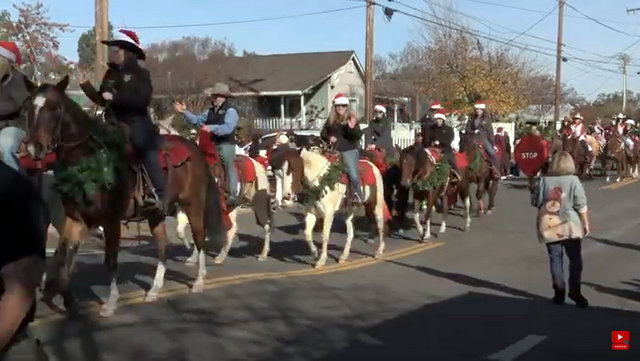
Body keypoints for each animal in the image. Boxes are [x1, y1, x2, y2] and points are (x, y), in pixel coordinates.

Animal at [24, 75, 225, 316]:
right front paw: (67, 301)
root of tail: (195, 150)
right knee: (162, 245)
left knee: (199, 237)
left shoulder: (111, 221)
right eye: (29, 108)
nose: (34, 148)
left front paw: (110, 302)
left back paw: (199, 282)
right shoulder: (74, 218)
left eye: (53, 108)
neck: (88, 160)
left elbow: (110, 259)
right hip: (155, 213)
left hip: (193, 204)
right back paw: (154, 290)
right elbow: (64, 257)